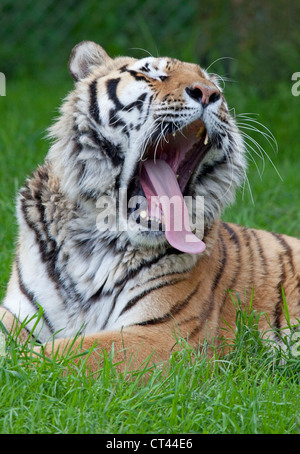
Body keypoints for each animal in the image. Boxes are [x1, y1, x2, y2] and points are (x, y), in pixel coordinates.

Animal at [0, 40, 300, 372]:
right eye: (151, 74)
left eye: (217, 86)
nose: (209, 94)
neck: (90, 243)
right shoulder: (17, 316)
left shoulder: (164, 334)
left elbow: (57, 354)